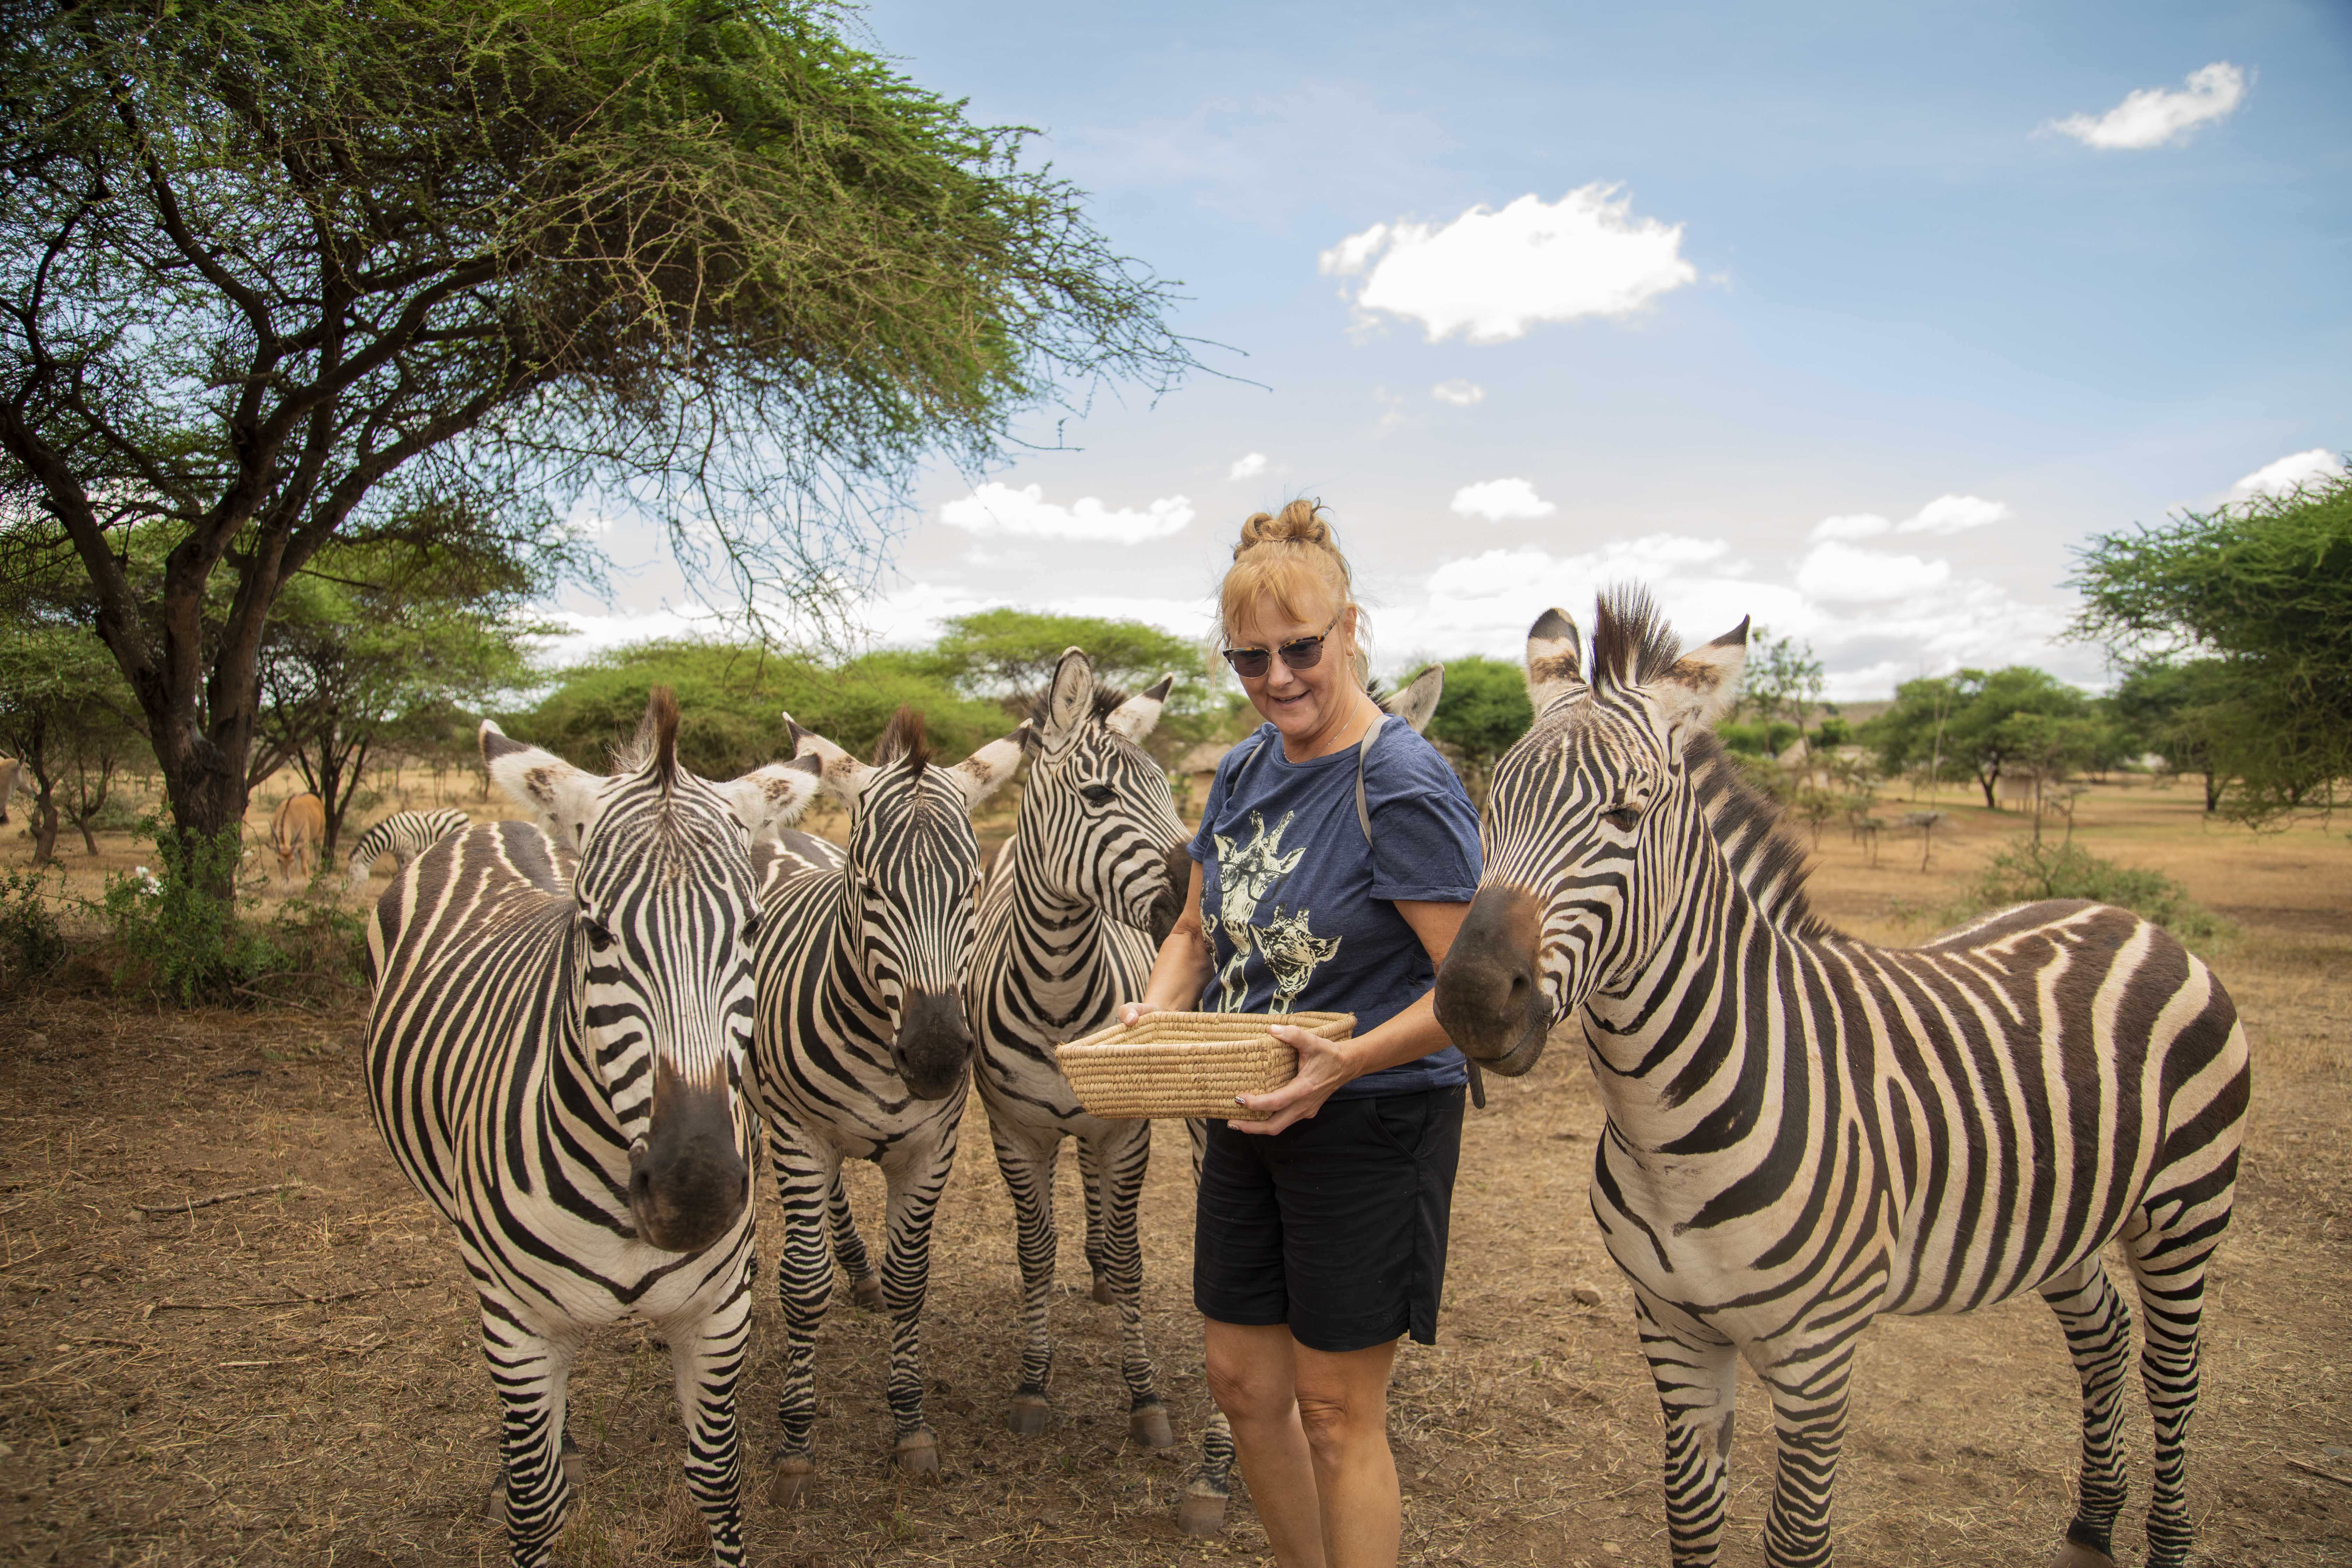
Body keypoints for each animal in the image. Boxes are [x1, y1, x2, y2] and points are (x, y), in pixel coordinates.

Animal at [346, 806, 470, 888]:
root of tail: (462, 813)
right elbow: (401, 867)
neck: (389, 837)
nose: (350, 894)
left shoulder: (408, 848)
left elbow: (411, 863)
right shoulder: (397, 853)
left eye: (352, 876)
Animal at [363, 690, 821, 1568]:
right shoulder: (517, 1322)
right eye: (597, 930)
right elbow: (534, 1503)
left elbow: (717, 1479)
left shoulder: (719, 1312)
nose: (693, 1194)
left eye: (751, 929)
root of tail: (494, 825)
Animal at [749, 707, 1026, 1504]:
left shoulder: (933, 1146)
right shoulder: (799, 1133)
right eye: (869, 885)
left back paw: (860, 1272)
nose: (934, 1056)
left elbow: (911, 1282)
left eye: (972, 885)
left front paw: (910, 1426)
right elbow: (802, 1285)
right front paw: (795, 1445)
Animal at [1431, 592, 2249, 1568]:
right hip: (2069, 1217)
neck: (1665, 1138)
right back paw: (2092, 1521)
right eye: (1489, 807)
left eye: (1628, 814)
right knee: (2105, 1336)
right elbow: (1690, 1517)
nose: (1472, 1000)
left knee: (2174, 1375)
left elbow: (1797, 1538)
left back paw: (2167, 1536)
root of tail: (2126, 916)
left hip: (2186, 1208)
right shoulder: (1672, 1328)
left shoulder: (1818, 1354)